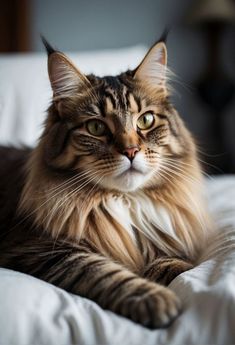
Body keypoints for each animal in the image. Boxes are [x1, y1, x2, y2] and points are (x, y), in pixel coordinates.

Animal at [0, 35, 211, 328]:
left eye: (146, 120)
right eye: (96, 128)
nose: (131, 151)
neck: (125, 201)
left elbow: (174, 263)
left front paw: (174, 274)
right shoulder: (38, 248)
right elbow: (102, 272)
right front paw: (154, 298)